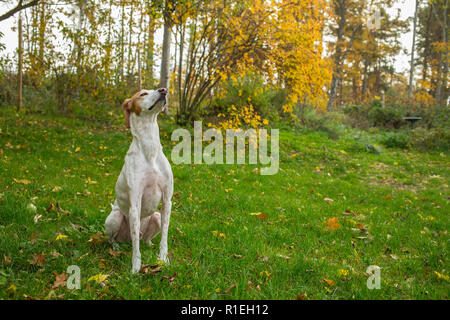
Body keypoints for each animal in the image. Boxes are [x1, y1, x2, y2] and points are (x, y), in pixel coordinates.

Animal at [105, 87, 174, 272]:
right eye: (143, 93)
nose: (164, 90)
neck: (150, 149)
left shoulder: (167, 200)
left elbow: (165, 237)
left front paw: (163, 259)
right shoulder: (134, 204)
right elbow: (136, 246)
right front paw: (135, 268)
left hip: (156, 216)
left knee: (144, 239)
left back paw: (149, 244)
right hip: (114, 217)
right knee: (116, 239)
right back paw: (116, 247)